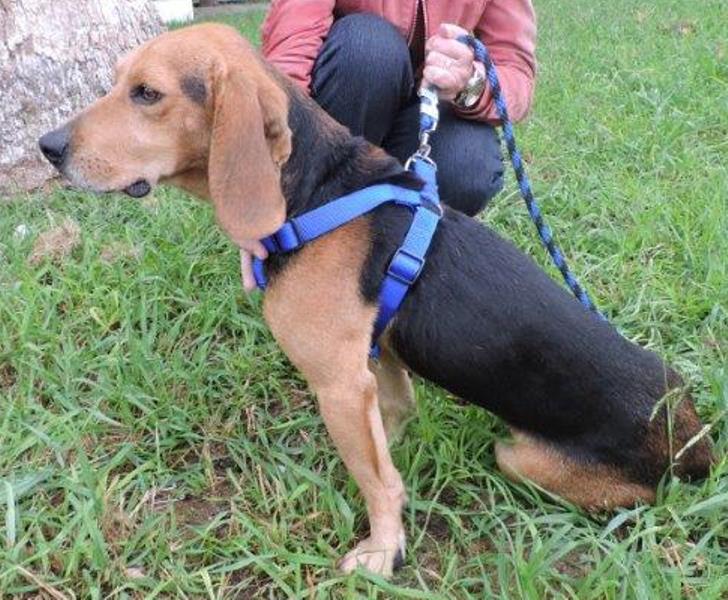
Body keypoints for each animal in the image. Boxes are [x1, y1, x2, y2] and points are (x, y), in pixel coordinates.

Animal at [38, 24, 713, 577]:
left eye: (147, 94)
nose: (47, 147)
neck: (313, 192)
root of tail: (697, 442)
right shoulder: (373, 362)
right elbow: (384, 438)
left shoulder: (338, 381)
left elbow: (378, 481)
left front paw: (383, 550)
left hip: (521, 457)